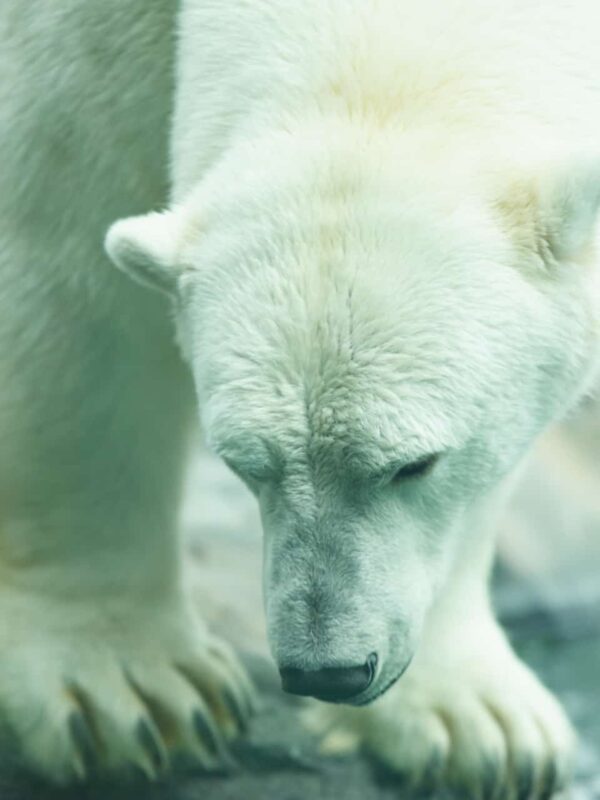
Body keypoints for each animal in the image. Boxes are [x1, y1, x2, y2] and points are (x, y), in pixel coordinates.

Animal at [2, 0, 599, 796]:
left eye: (416, 463)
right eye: (242, 463)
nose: (329, 670)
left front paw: (480, 724)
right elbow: (69, 257)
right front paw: (131, 687)